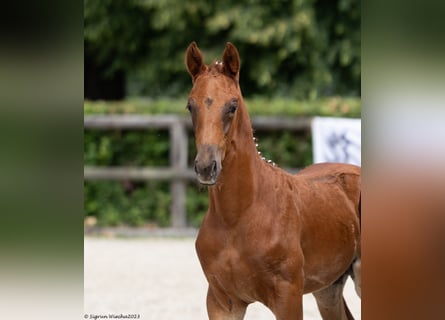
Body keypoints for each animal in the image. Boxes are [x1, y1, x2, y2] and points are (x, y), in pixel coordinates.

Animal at [185, 41, 360, 318]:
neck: (237, 217)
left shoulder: (288, 297)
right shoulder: (221, 301)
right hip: (328, 288)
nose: (205, 167)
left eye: (233, 106)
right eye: (191, 106)